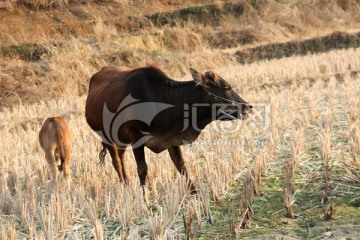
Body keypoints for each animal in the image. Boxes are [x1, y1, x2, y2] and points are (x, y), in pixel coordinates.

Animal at [85, 65, 252, 193]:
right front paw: (144, 198)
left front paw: (195, 192)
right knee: (116, 162)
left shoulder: (172, 138)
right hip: (106, 136)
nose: (248, 107)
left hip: (120, 139)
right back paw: (124, 185)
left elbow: (181, 165)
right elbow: (142, 169)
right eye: (226, 87)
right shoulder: (137, 139)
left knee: (121, 158)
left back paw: (126, 182)